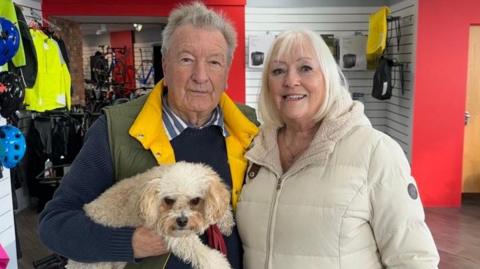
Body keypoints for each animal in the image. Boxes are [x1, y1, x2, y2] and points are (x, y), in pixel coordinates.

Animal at [66, 161, 234, 268]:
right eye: (168, 200)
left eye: (195, 200)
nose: (182, 221)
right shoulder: (170, 232)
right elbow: (199, 252)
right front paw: (220, 264)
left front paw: (226, 222)